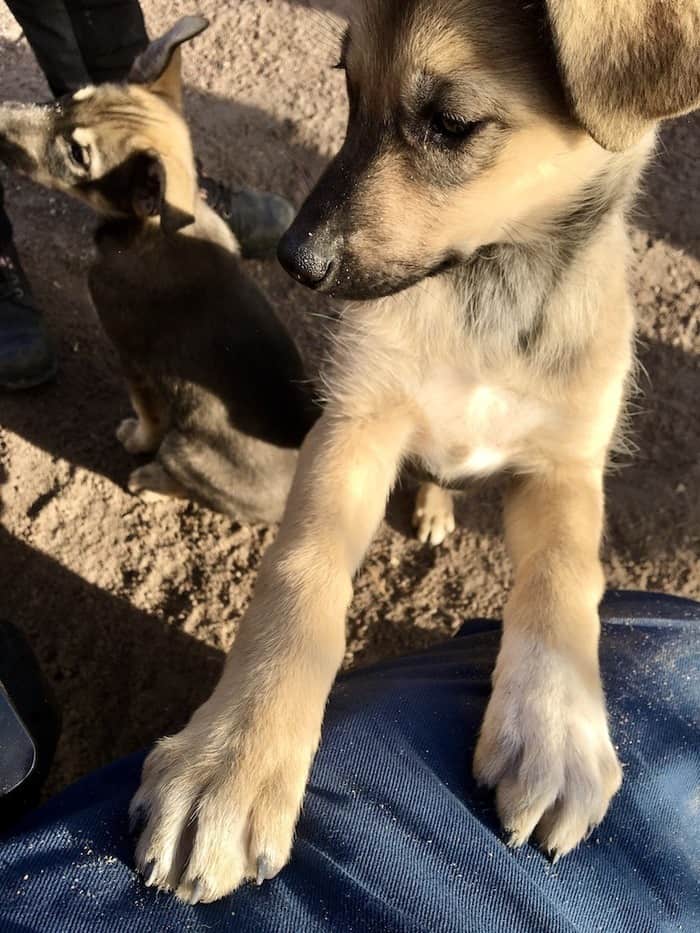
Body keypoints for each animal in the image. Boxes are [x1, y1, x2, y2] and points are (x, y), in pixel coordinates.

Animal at [130, 0, 696, 904]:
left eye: (453, 124)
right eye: (347, 85)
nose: (295, 260)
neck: (484, 292)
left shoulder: (566, 464)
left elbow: (566, 578)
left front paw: (556, 730)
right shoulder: (353, 425)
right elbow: (299, 580)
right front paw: (231, 762)